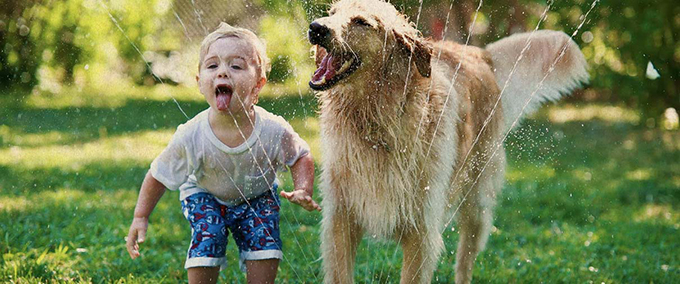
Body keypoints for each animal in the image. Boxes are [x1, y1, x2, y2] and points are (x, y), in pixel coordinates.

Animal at [308, 1, 588, 282]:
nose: (316, 27)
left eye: (361, 22)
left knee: (465, 260)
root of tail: (480, 53)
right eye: (332, 13)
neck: (377, 120)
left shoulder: (421, 230)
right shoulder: (340, 220)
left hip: (477, 200)